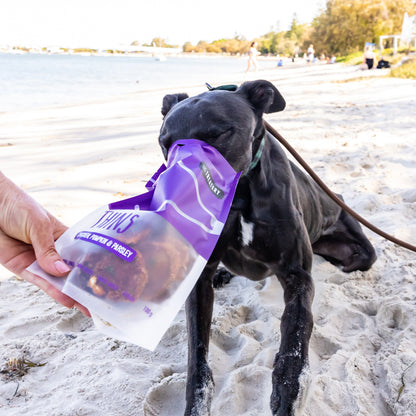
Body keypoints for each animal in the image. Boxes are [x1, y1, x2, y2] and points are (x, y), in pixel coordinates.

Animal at [157, 80, 376, 416]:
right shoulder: (199, 281)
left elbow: (297, 329)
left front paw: (288, 390)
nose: (175, 194)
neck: (239, 197)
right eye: (165, 143)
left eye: (218, 134)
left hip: (359, 253)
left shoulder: (297, 274)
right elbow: (197, 357)